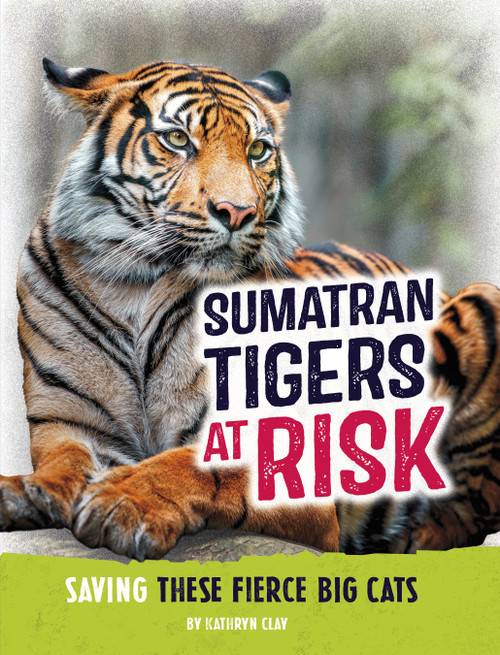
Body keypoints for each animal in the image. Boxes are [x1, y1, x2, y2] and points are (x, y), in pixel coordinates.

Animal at [0, 58, 498, 560]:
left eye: (257, 150)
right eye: (177, 139)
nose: (237, 212)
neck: (137, 286)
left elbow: (197, 465)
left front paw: (123, 502)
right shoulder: (66, 422)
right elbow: (63, 464)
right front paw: (22, 491)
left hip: (482, 301)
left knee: (472, 510)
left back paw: (410, 539)